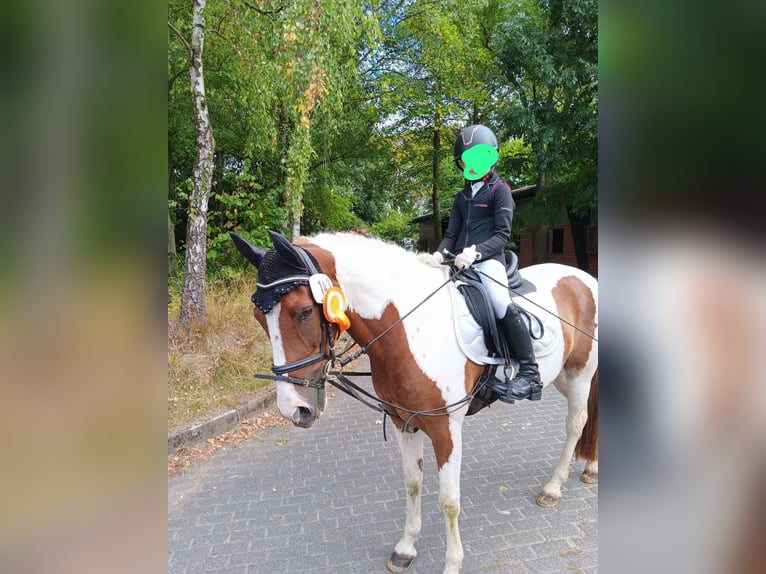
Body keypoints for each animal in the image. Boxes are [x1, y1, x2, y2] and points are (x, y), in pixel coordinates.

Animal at [230, 229, 598, 574]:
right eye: (259, 317)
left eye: (305, 312)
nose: (293, 408)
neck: (410, 331)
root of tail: (584, 277)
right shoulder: (403, 422)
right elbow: (412, 484)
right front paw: (405, 549)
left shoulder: (446, 428)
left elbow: (449, 501)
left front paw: (452, 563)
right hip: (562, 377)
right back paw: (590, 468)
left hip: (580, 374)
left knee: (576, 424)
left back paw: (553, 488)